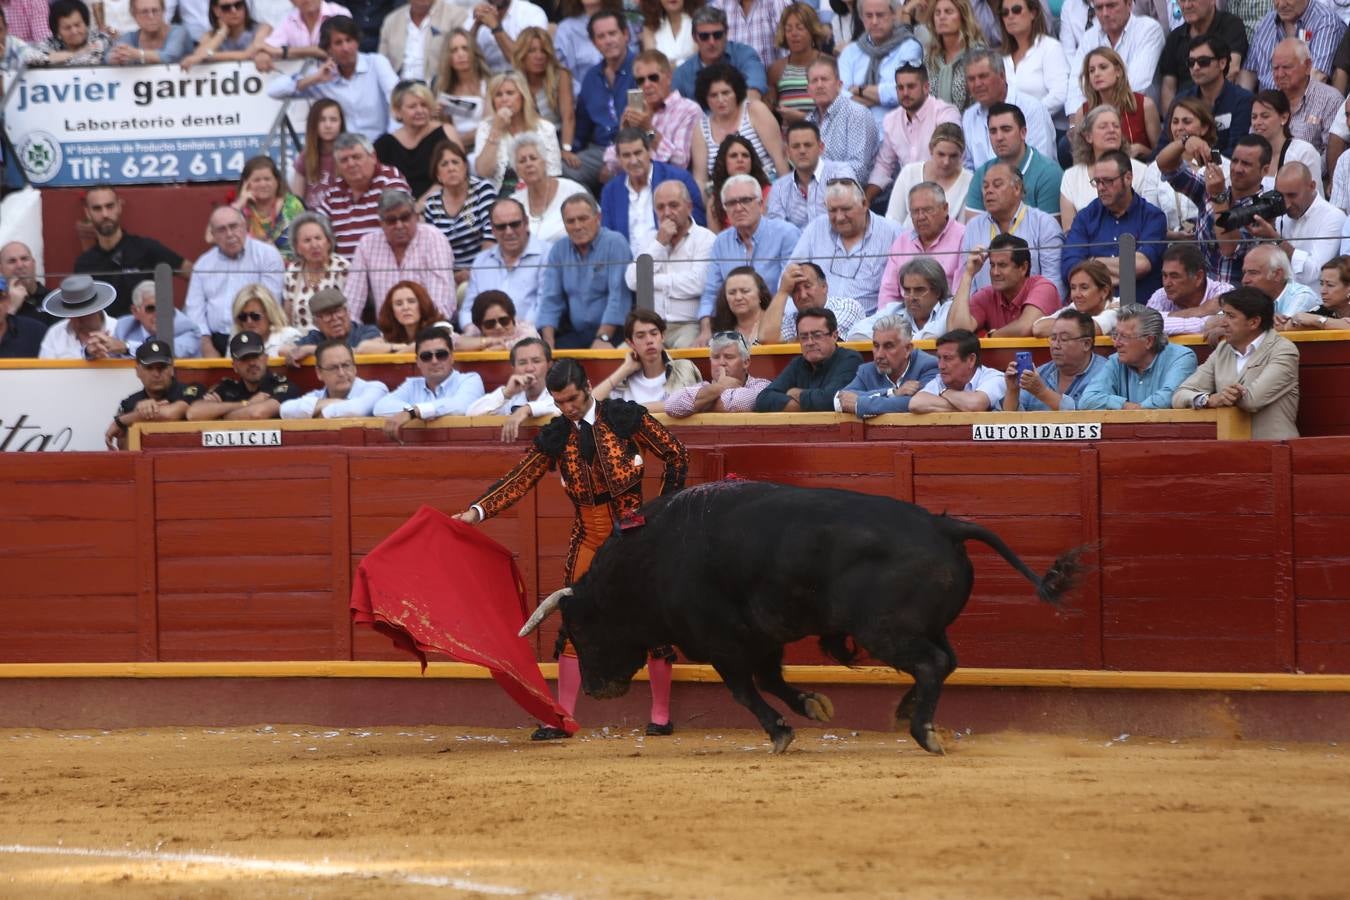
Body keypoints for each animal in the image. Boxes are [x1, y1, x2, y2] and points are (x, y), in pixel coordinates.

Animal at [521, 483, 1080, 755]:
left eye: (580, 629)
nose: (598, 690)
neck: (651, 560)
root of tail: (943, 525)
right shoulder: (761, 639)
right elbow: (773, 680)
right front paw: (814, 706)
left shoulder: (722, 645)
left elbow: (745, 691)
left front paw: (781, 732)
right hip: (920, 627)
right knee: (947, 661)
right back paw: (908, 713)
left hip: (885, 631)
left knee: (931, 664)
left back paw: (924, 731)